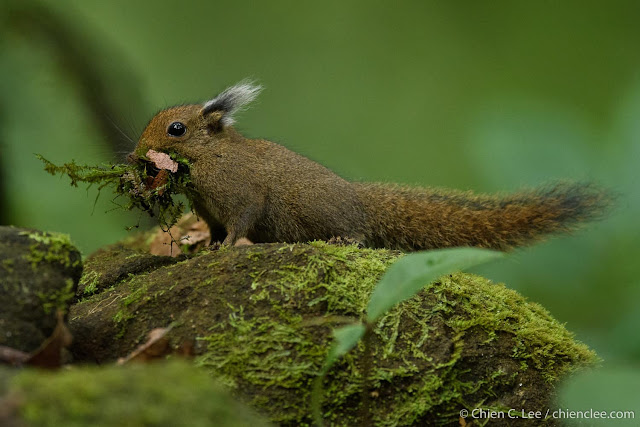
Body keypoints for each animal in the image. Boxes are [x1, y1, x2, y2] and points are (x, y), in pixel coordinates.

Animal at [129, 81, 608, 251]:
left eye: (176, 129)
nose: (136, 156)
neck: (212, 157)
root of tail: (361, 202)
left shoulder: (241, 195)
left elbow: (240, 222)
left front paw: (228, 248)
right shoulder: (208, 212)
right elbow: (212, 230)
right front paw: (205, 248)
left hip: (320, 213)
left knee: (356, 234)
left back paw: (345, 238)